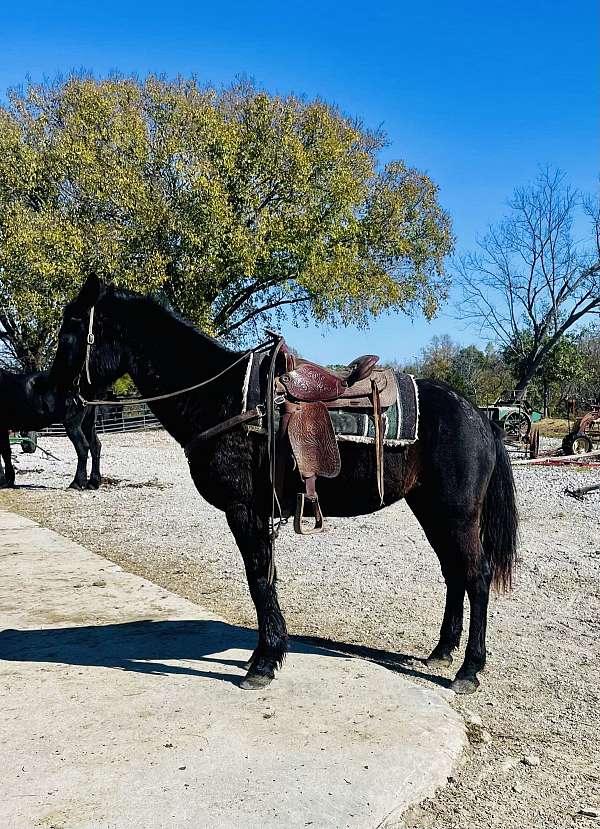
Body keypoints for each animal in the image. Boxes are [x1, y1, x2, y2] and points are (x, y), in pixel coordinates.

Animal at [54, 274, 516, 696]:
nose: (57, 392)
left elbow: (259, 578)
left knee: (476, 576)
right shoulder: (258, 513)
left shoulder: (243, 511)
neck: (220, 397)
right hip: (433, 511)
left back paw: (468, 670)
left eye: (72, 328)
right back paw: (442, 651)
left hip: (456, 514)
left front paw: (264, 661)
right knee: (454, 574)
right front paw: (268, 652)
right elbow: (265, 578)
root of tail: (481, 416)